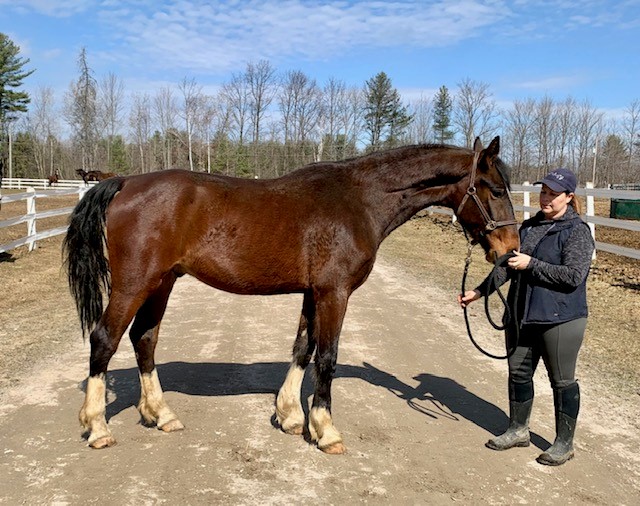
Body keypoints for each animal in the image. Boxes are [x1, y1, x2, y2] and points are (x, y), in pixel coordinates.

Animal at [63, 136, 519, 453]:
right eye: (495, 189)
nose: (510, 249)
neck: (359, 200)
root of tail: (124, 183)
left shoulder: (312, 292)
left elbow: (303, 348)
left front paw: (290, 417)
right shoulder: (334, 292)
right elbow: (327, 357)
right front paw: (326, 431)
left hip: (162, 283)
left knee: (144, 339)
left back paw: (161, 415)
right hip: (135, 284)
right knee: (104, 340)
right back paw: (98, 427)